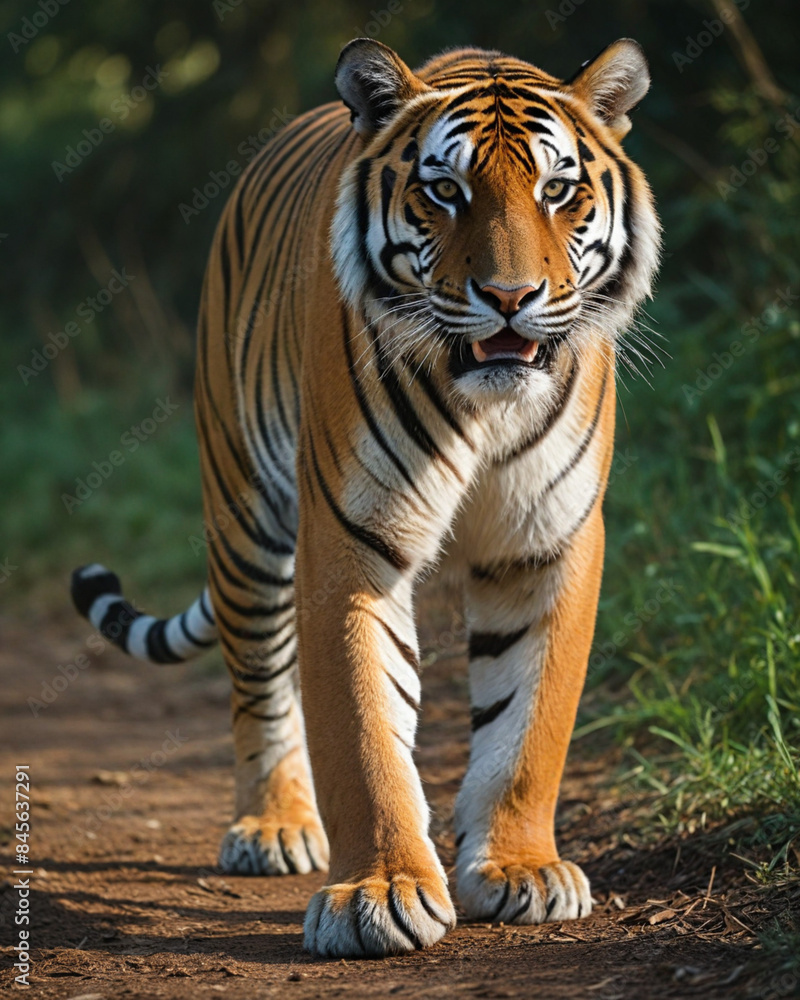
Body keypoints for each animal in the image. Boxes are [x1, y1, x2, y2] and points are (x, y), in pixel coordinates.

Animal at [71, 37, 660, 957]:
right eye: (445, 190)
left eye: (557, 191)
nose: (510, 299)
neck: (484, 404)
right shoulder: (349, 538)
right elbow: (361, 727)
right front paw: (377, 894)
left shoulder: (547, 542)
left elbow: (529, 727)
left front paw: (521, 869)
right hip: (244, 515)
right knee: (260, 685)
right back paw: (274, 826)